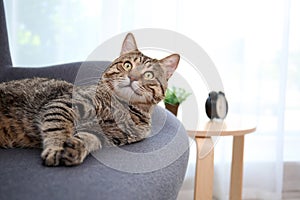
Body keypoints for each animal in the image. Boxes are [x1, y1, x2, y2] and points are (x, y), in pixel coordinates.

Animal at [0, 33, 178, 166]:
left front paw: (77, 148)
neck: (122, 108)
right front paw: (56, 147)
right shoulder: (64, 104)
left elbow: (90, 138)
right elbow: (58, 128)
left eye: (148, 75)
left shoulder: (109, 134)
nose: (132, 77)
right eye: (128, 65)